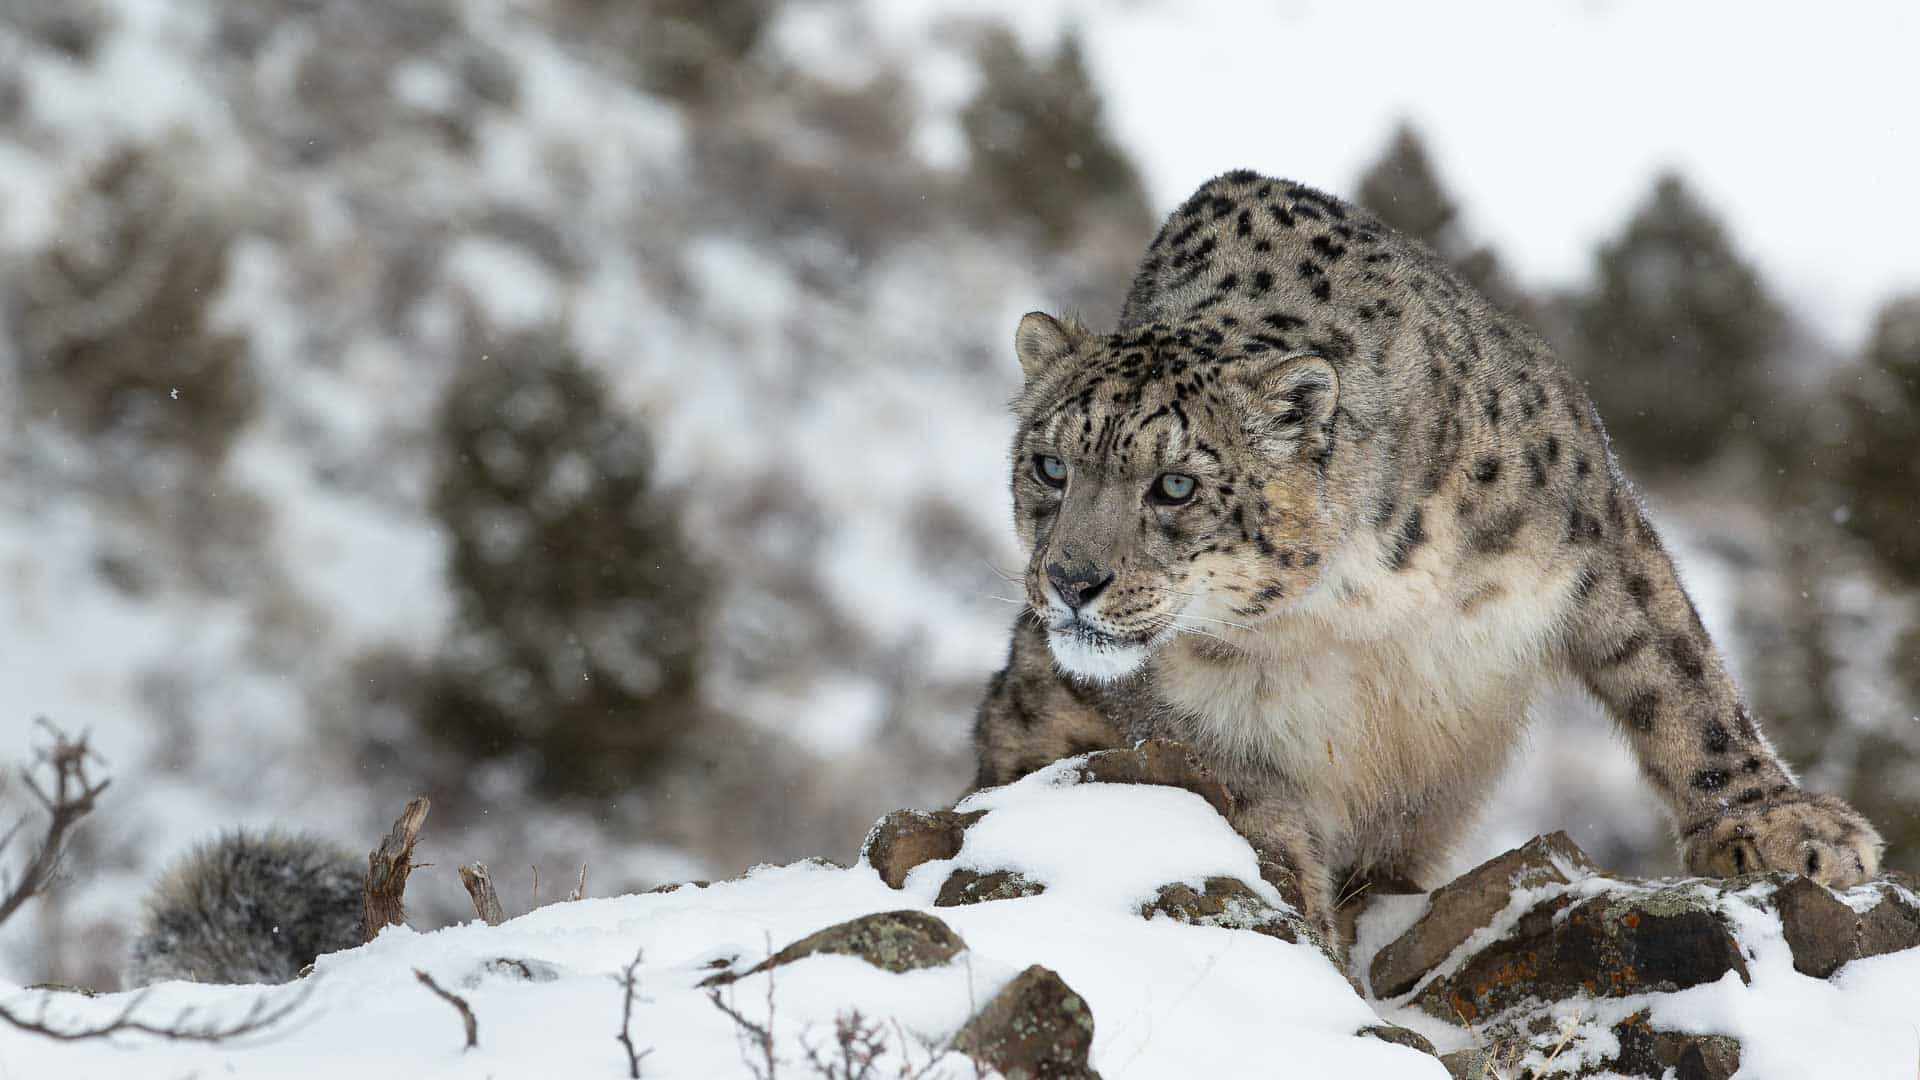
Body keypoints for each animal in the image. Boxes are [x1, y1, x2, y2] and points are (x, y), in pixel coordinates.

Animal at [971, 168, 1884, 950]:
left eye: (1174, 485)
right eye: (1050, 466)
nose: (1071, 580)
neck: (1347, 601)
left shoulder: (1591, 526)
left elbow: (1679, 674)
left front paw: (1780, 827)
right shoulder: (1211, 734)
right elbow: (1261, 827)